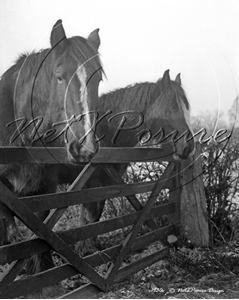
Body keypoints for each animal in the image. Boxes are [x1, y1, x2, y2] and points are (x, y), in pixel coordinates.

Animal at [0, 19, 104, 298]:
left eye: (98, 79)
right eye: (59, 77)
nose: (85, 147)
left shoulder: (44, 186)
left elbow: (39, 228)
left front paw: (43, 281)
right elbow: (8, 218)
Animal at [59, 69, 194, 253]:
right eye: (173, 107)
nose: (189, 146)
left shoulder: (103, 184)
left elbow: (93, 218)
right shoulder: (89, 184)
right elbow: (89, 219)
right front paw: (86, 250)